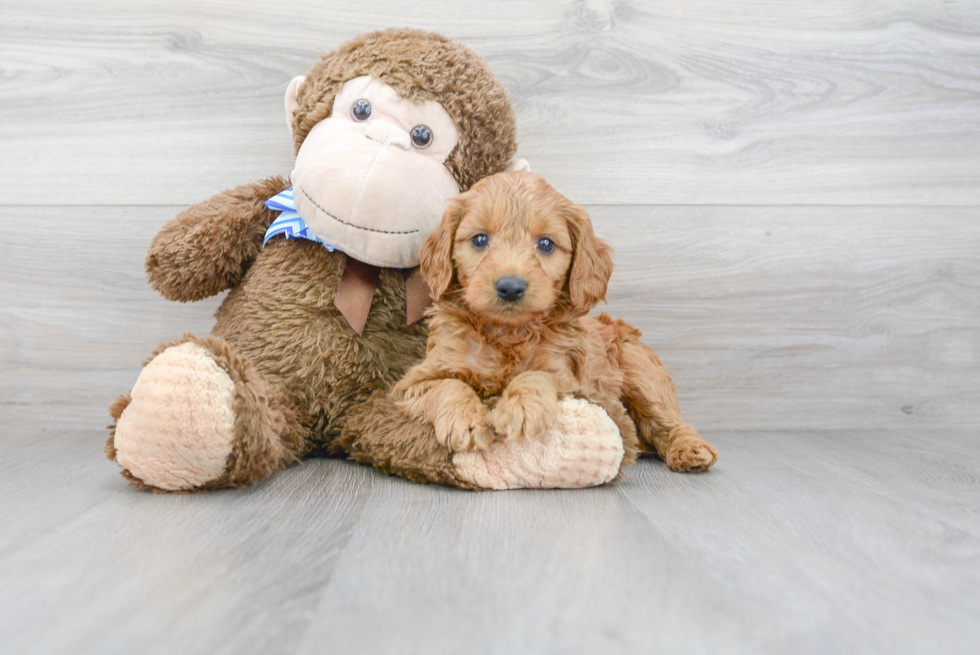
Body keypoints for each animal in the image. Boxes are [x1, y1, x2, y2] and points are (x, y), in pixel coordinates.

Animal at [392, 172, 720, 474]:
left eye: (546, 244)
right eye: (480, 239)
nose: (510, 287)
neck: (507, 334)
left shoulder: (569, 378)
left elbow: (537, 375)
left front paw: (521, 408)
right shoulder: (415, 381)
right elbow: (447, 385)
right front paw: (466, 420)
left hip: (641, 370)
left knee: (668, 419)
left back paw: (690, 450)